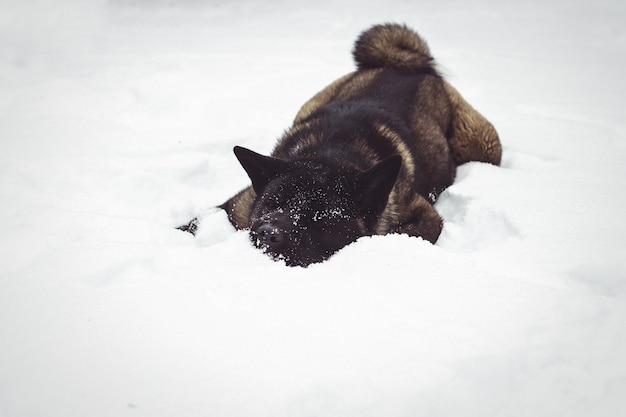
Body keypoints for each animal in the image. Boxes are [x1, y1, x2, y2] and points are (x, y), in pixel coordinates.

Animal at [183, 22, 500, 264]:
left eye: (321, 216)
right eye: (270, 206)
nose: (267, 233)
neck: (332, 151)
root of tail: (404, 67)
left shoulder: (426, 216)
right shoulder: (237, 207)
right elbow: (193, 223)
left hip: (482, 144)